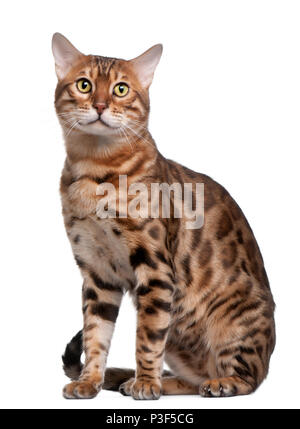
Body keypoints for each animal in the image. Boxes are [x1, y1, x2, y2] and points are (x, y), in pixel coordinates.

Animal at [52, 32, 276, 398]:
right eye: (84, 85)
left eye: (121, 89)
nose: (99, 105)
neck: (95, 171)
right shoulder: (97, 273)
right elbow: (95, 335)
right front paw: (89, 381)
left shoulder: (155, 268)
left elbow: (146, 337)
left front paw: (145, 382)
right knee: (192, 379)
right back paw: (143, 381)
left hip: (235, 323)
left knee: (249, 378)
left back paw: (218, 382)